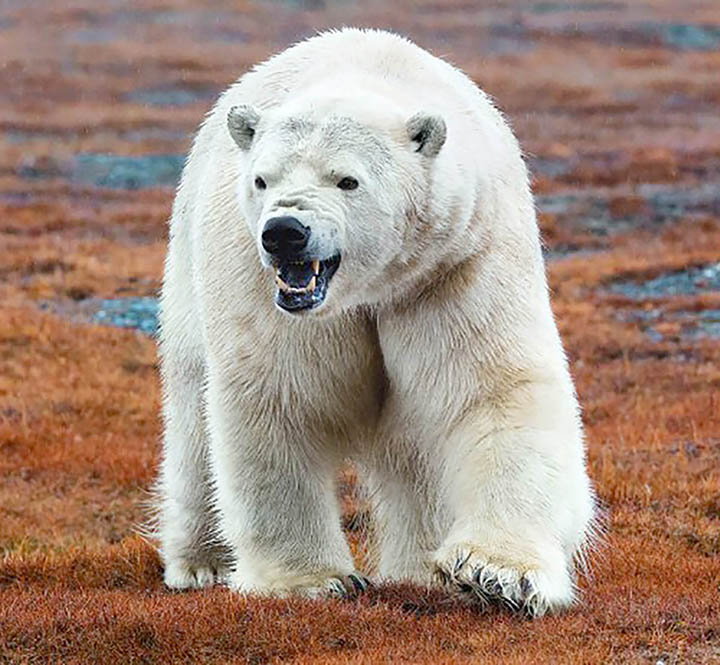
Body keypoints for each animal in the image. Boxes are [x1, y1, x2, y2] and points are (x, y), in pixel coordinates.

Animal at [158, 28, 596, 616]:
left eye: (348, 180)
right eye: (262, 180)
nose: (285, 232)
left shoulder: (453, 264)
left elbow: (493, 389)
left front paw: (494, 574)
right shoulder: (261, 286)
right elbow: (280, 396)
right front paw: (312, 581)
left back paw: (419, 571)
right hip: (189, 272)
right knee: (191, 414)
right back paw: (200, 563)